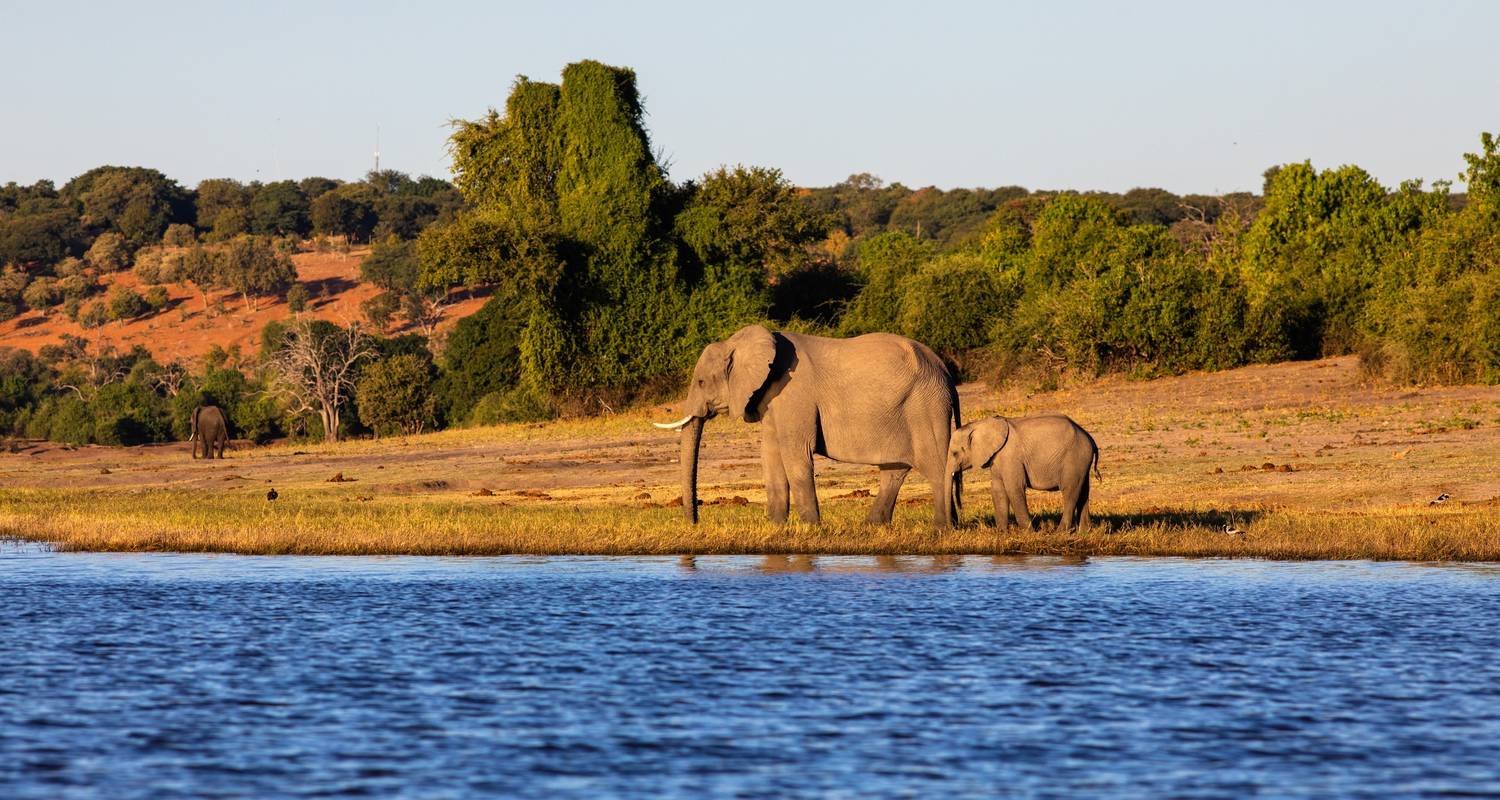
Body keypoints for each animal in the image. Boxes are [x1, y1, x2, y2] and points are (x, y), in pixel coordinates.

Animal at [648, 321, 954, 528]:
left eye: (701, 382)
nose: (694, 523)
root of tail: (944, 370)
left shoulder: (794, 393)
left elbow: (796, 455)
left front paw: (810, 527)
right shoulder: (772, 399)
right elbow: (770, 455)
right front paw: (775, 526)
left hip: (925, 406)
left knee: (936, 467)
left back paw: (943, 528)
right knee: (895, 469)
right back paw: (873, 526)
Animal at [948, 411, 1104, 531]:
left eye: (955, 453)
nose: (954, 526)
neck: (980, 424)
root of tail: (1090, 438)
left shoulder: (1011, 457)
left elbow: (1014, 488)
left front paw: (1029, 533)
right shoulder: (997, 458)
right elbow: (998, 490)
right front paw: (1002, 534)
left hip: (1074, 458)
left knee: (1070, 492)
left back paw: (1061, 532)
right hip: (1081, 462)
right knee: (1083, 492)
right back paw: (1084, 532)